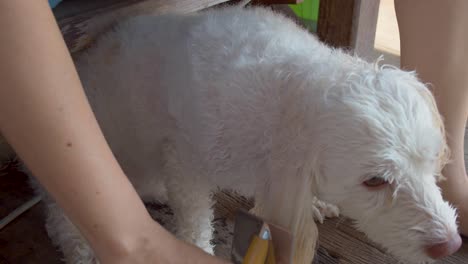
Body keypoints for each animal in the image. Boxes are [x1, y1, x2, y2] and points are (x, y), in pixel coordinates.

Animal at [0, 5, 460, 264]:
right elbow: (194, 225)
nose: (451, 245)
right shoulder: (186, 159)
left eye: (431, 164)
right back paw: (79, 248)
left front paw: (319, 202)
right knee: (60, 213)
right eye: (375, 181)